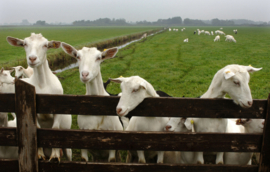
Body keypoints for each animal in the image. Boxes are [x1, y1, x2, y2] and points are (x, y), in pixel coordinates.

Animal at [7, 33, 73, 161]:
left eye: (45, 45)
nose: (32, 58)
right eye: (24, 44)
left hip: (67, 147)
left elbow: (55, 128)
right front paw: (40, 155)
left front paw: (55, 155)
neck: (43, 85)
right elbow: (36, 127)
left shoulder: (58, 109)